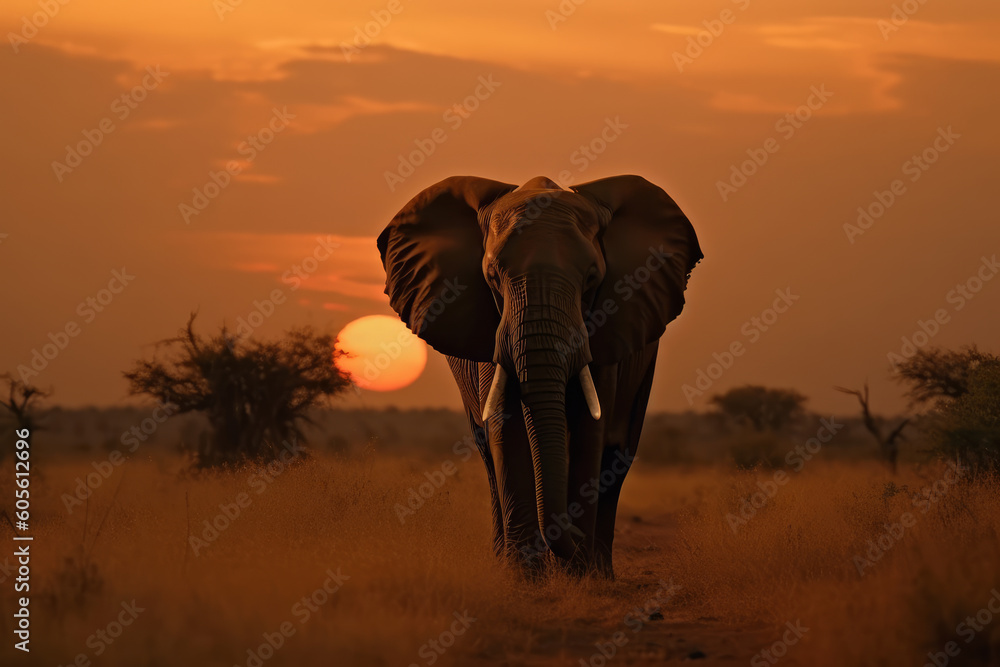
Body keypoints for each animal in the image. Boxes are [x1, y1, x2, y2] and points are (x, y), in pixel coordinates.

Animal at [377, 175, 702, 577]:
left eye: (592, 278)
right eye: (492, 277)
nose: (572, 540)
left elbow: (591, 428)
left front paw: (580, 578)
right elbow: (507, 427)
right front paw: (525, 579)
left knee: (618, 452)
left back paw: (600, 571)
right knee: (488, 455)